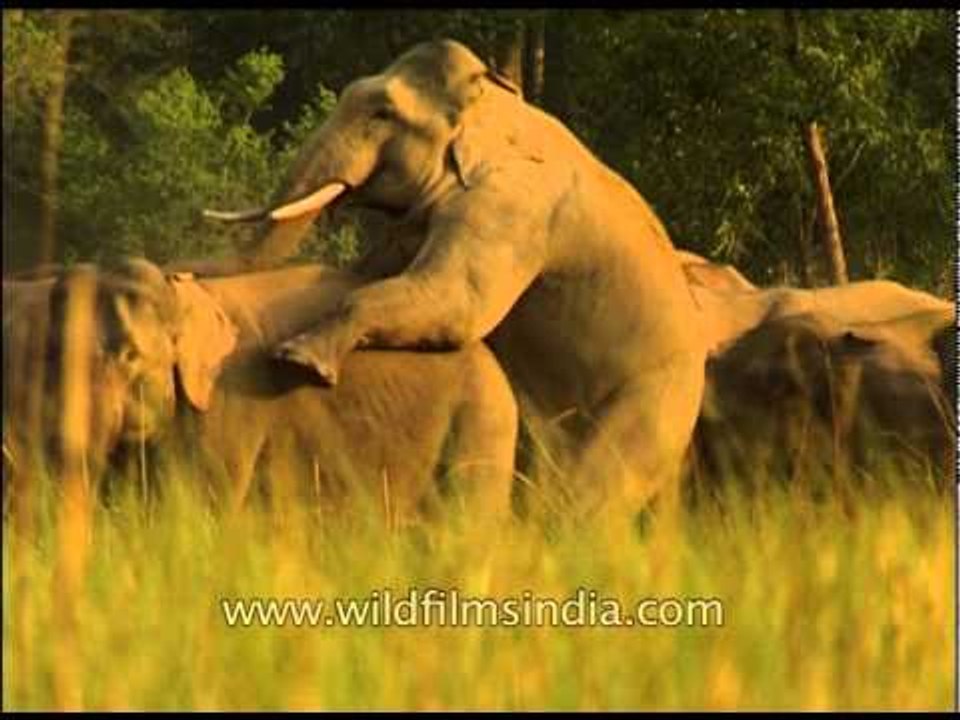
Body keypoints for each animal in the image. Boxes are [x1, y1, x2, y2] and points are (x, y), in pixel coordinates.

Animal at [204, 39, 707, 519]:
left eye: (382, 113)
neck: (493, 102)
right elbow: (374, 272)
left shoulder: (507, 205)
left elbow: (456, 302)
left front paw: (298, 359)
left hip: (650, 406)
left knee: (585, 499)